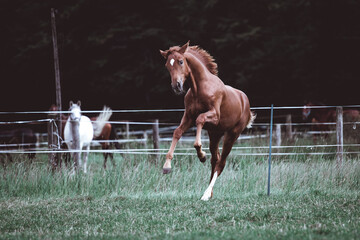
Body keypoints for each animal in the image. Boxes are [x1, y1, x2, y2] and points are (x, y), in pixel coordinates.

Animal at [160, 41, 256, 201]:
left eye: (181, 61)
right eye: (167, 65)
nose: (177, 86)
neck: (199, 88)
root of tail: (246, 103)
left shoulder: (213, 116)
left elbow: (200, 120)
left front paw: (201, 154)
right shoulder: (188, 117)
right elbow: (177, 132)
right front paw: (167, 166)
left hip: (232, 135)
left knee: (221, 162)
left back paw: (206, 194)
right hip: (215, 134)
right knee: (215, 160)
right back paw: (209, 192)